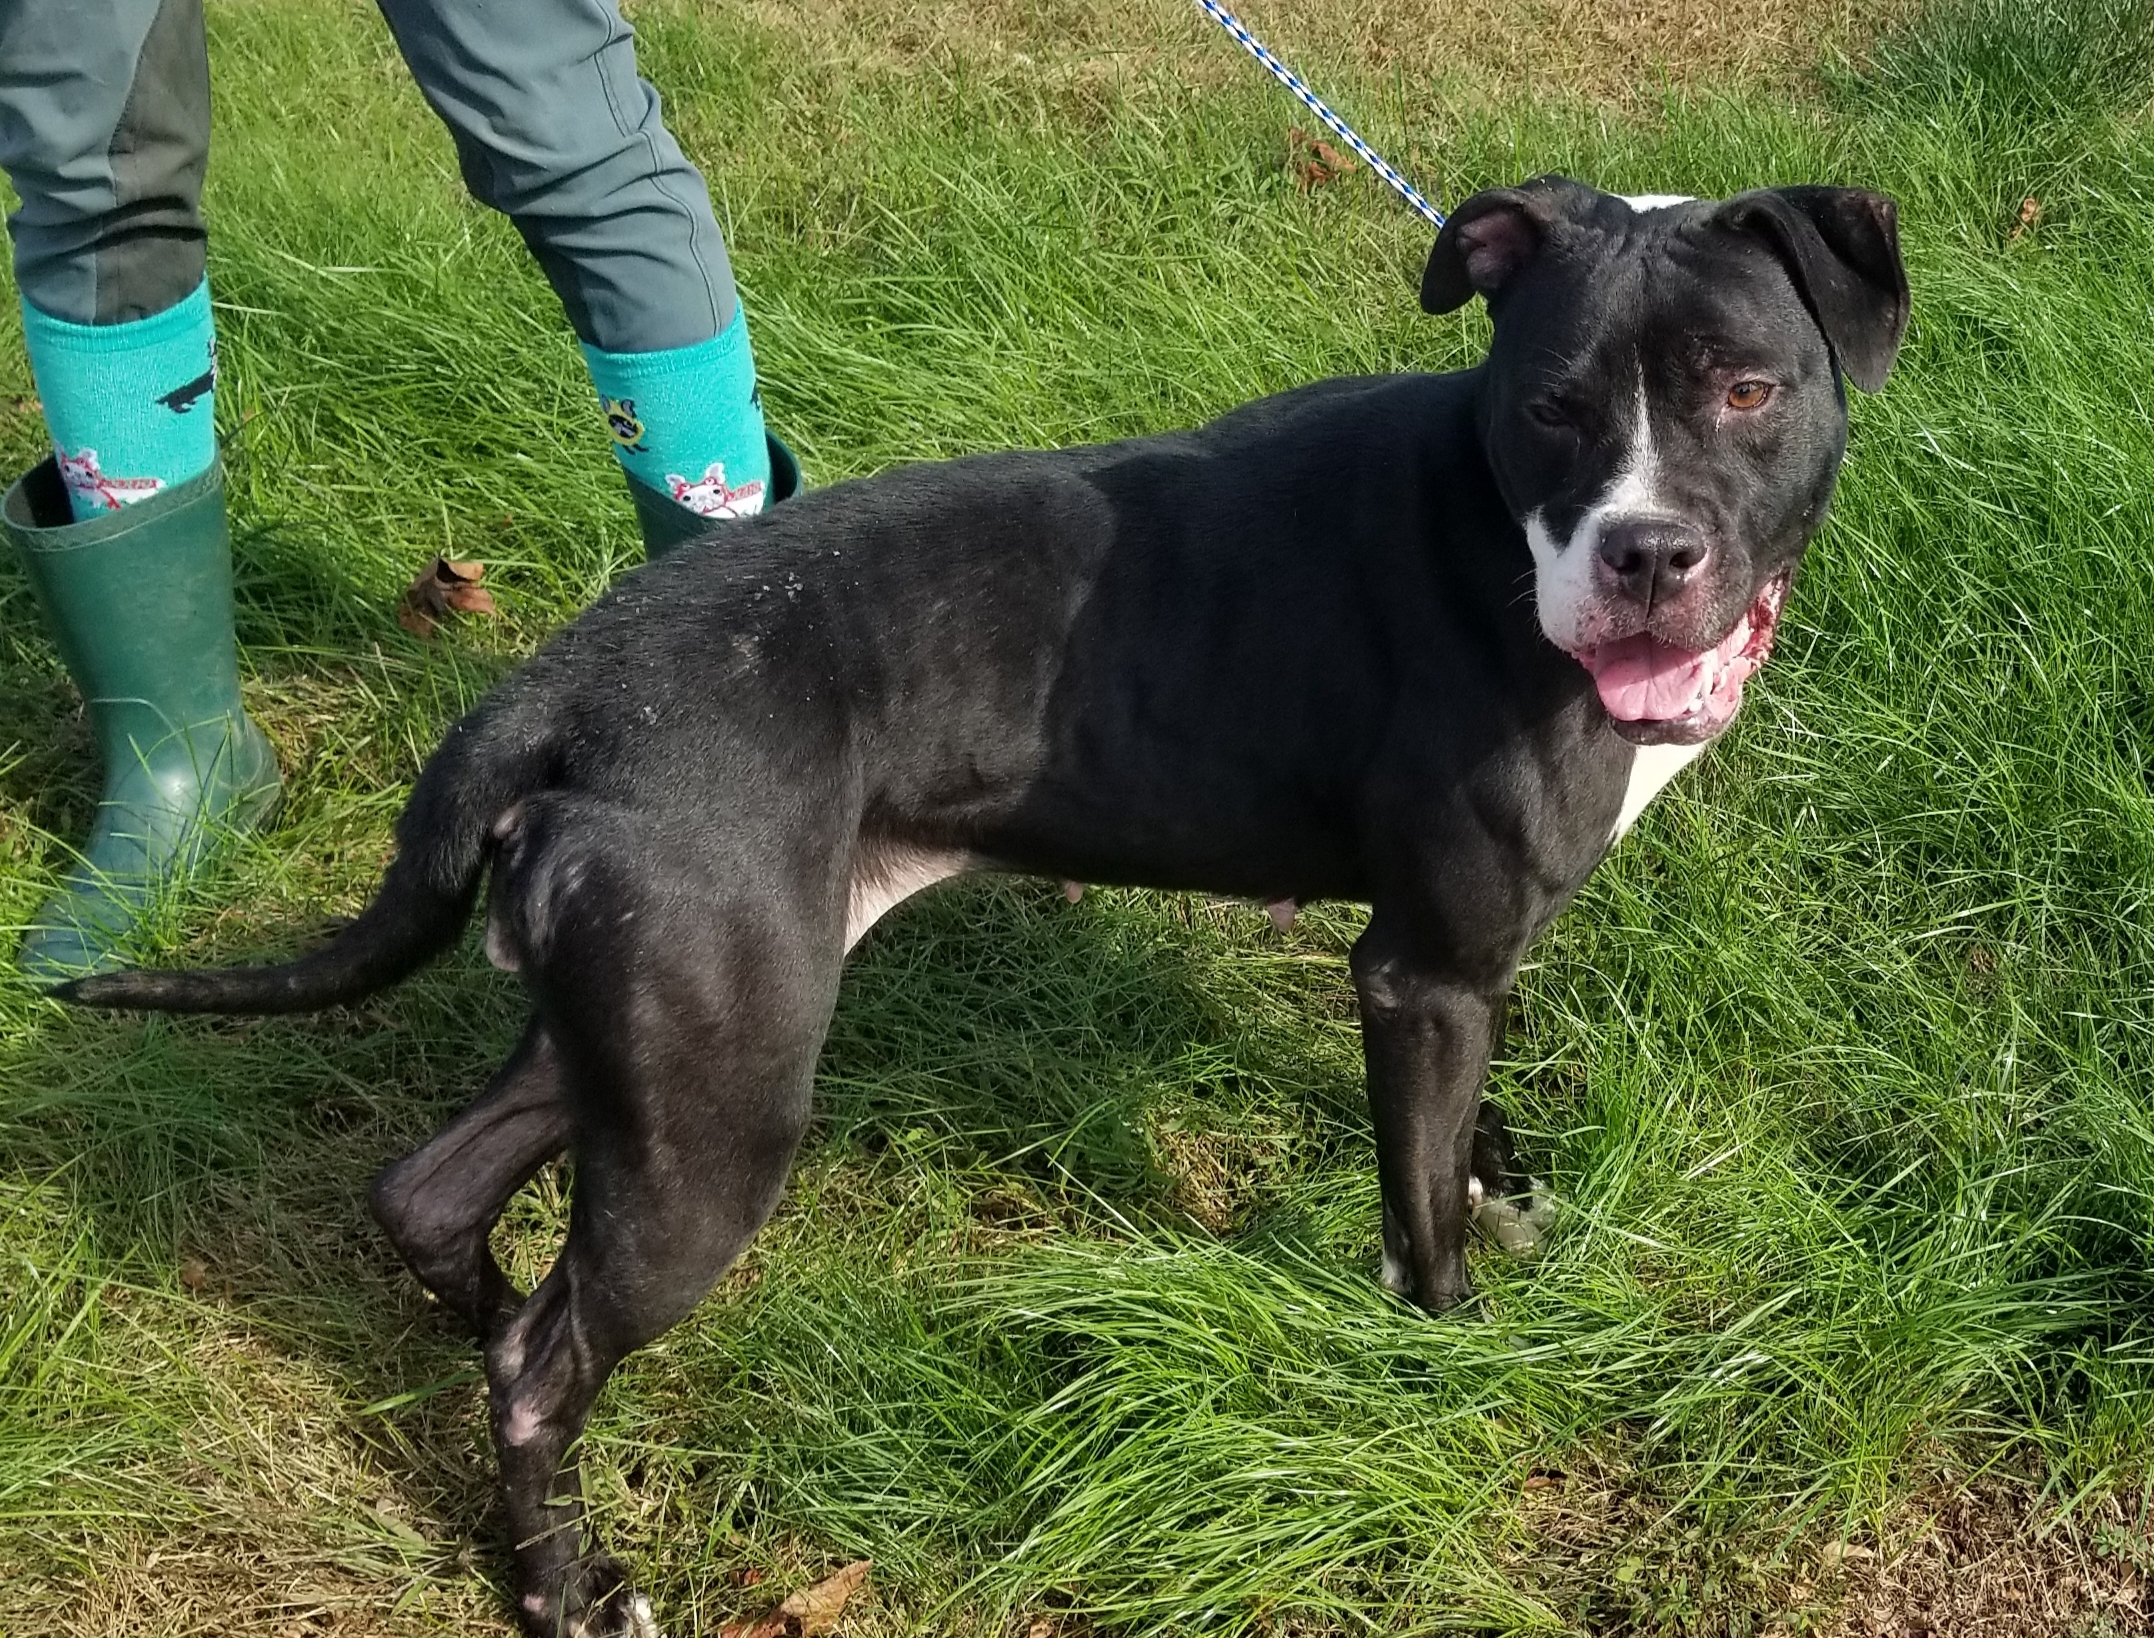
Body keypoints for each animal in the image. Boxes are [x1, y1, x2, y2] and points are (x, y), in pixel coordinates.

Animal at [63, 178, 1904, 1638]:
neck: (1491, 531)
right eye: (1549, 406)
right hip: (722, 1109)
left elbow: (1463, 1126)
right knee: (539, 1359)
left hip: (648, 1033)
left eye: (1746, 389)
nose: (1644, 555)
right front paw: (1452, 1370)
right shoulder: (1419, 965)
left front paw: (1507, 1185)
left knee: (437, 1200)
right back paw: (570, 1582)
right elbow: (1417, 1220)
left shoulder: (1458, 957)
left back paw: (472, 1347)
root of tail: (560, 683)